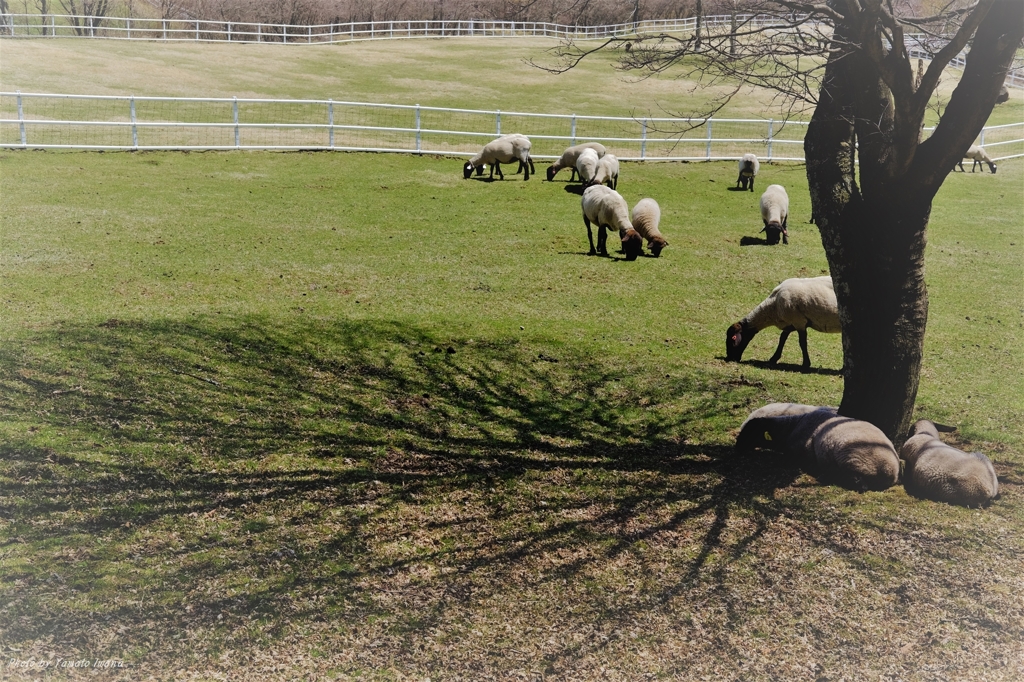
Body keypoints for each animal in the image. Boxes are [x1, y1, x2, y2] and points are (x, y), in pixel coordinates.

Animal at [737, 401, 897, 491]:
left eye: (751, 433)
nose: (737, 448)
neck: (792, 426)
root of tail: (890, 471)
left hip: (853, 457)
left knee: (859, 483)